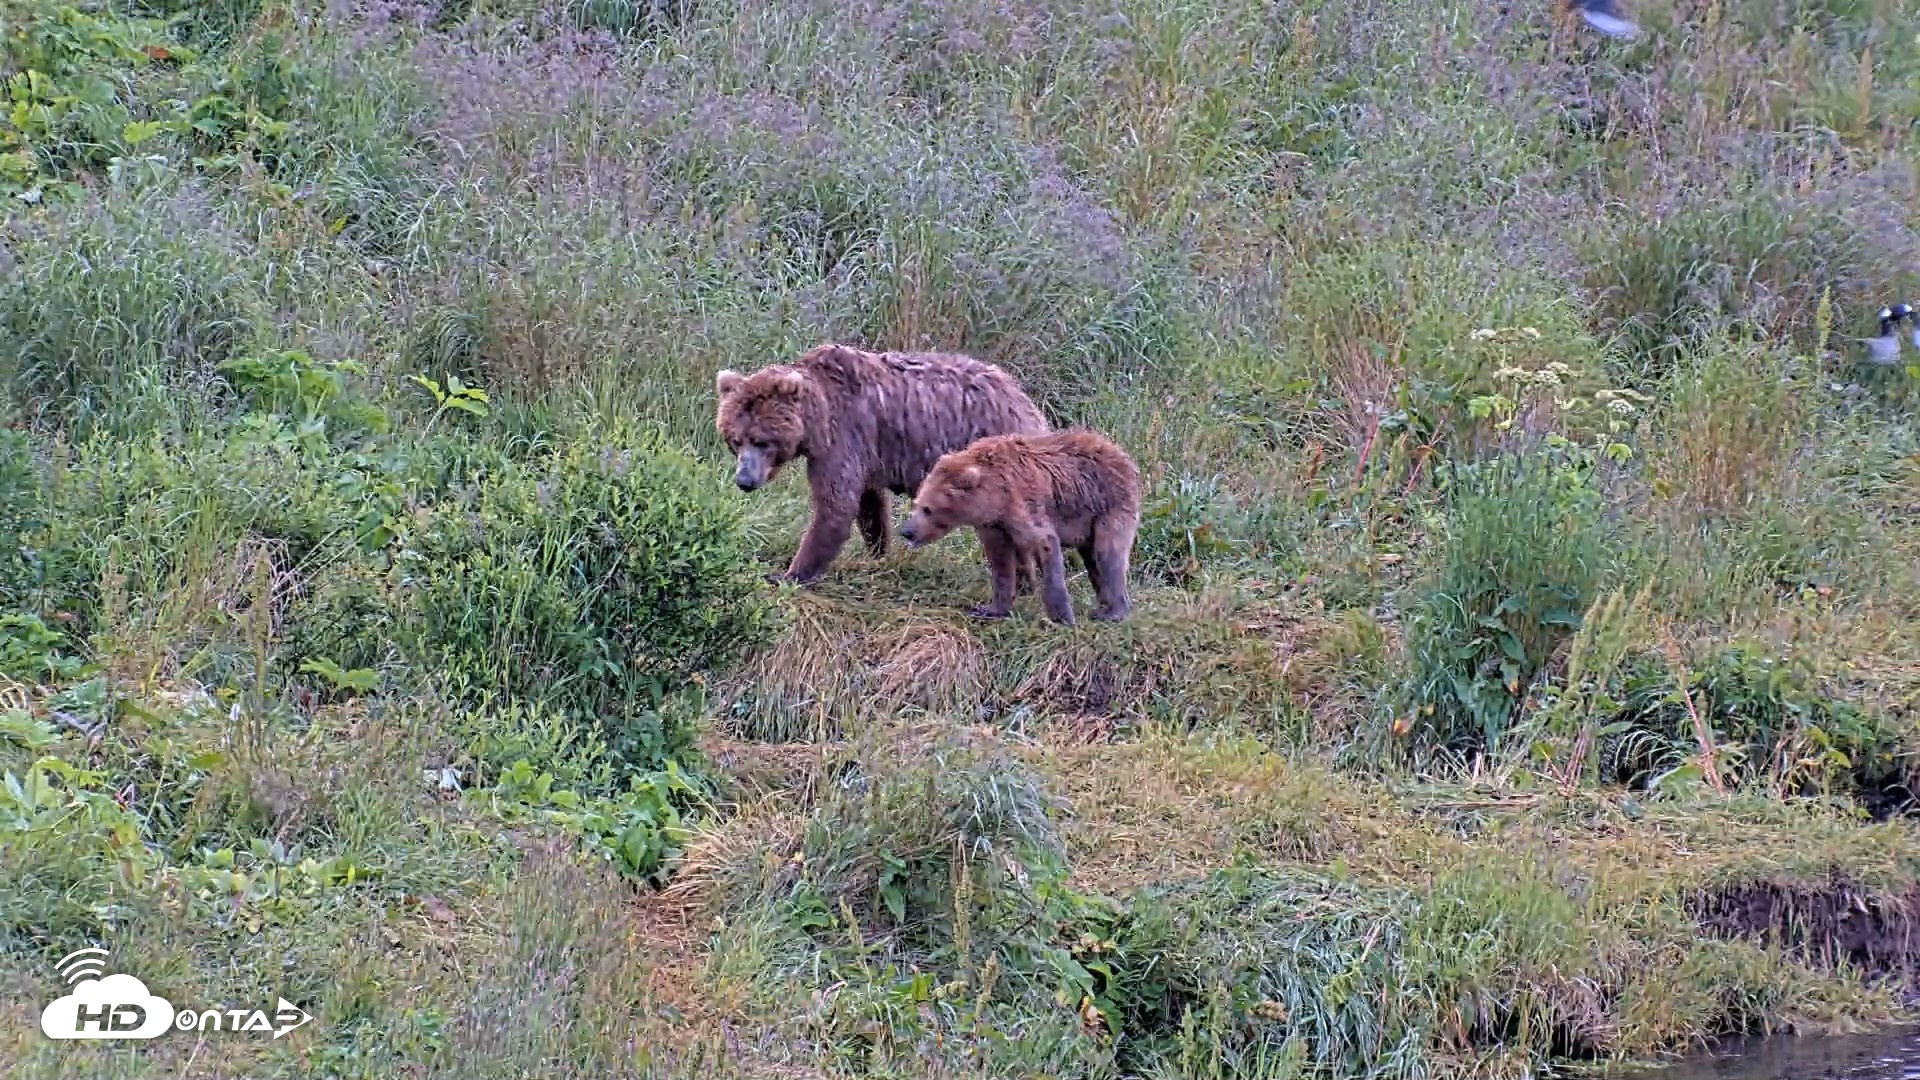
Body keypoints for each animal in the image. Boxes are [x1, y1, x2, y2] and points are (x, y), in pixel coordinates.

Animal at [715, 342, 1051, 586]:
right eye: (735, 440)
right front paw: (877, 552)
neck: (818, 419)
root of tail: (1028, 404)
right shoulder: (865, 452)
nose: (744, 481)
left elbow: (835, 504)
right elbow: (869, 503)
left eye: (761, 441)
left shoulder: (845, 436)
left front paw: (789, 573)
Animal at [898, 428, 1142, 626]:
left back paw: (1113, 611)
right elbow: (1001, 563)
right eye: (917, 503)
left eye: (928, 509)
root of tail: (1123, 455)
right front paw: (991, 608)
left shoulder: (1023, 503)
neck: (995, 495)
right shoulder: (994, 525)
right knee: (1092, 559)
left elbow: (1044, 542)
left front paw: (1061, 617)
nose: (907, 531)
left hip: (1109, 505)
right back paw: (1103, 604)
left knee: (1108, 554)